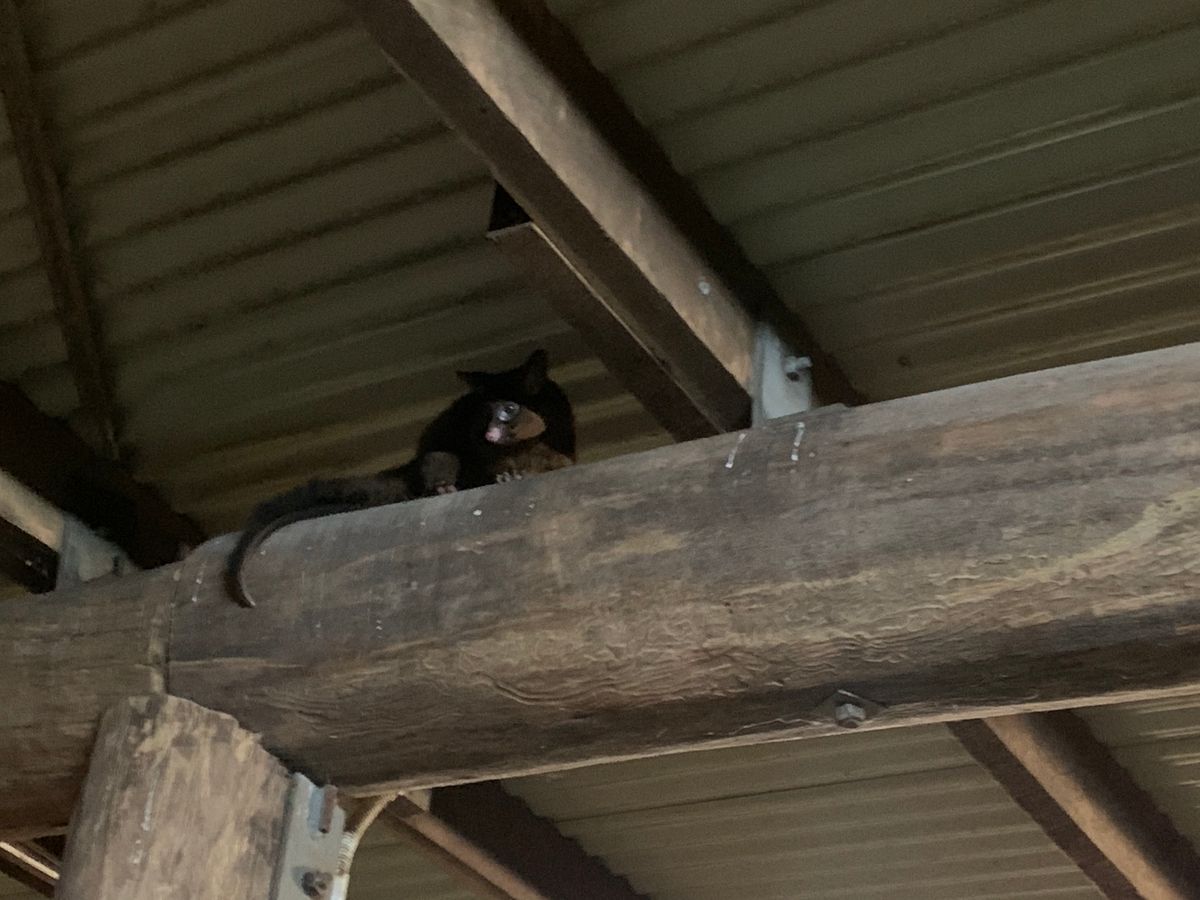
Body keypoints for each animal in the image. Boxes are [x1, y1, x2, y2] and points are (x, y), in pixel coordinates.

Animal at [223, 349, 575, 607]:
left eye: (509, 408)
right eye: (483, 412)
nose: (488, 431)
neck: (526, 444)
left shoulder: (559, 439)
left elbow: (561, 461)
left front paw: (523, 472)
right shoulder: (473, 441)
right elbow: (478, 458)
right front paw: (504, 475)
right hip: (434, 461)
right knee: (440, 461)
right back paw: (445, 488)